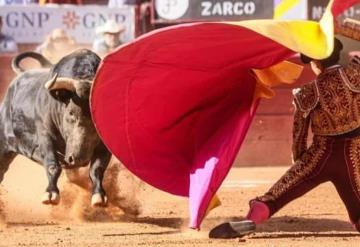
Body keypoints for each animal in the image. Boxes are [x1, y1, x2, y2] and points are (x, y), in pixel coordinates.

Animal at [0, 48, 111, 206]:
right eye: (71, 112)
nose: (78, 159)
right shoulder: (46, 138)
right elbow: (53, 166)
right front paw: (50, 193)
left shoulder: (104, 147)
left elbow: (97, 169)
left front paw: (99, 196)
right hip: (3, 145)